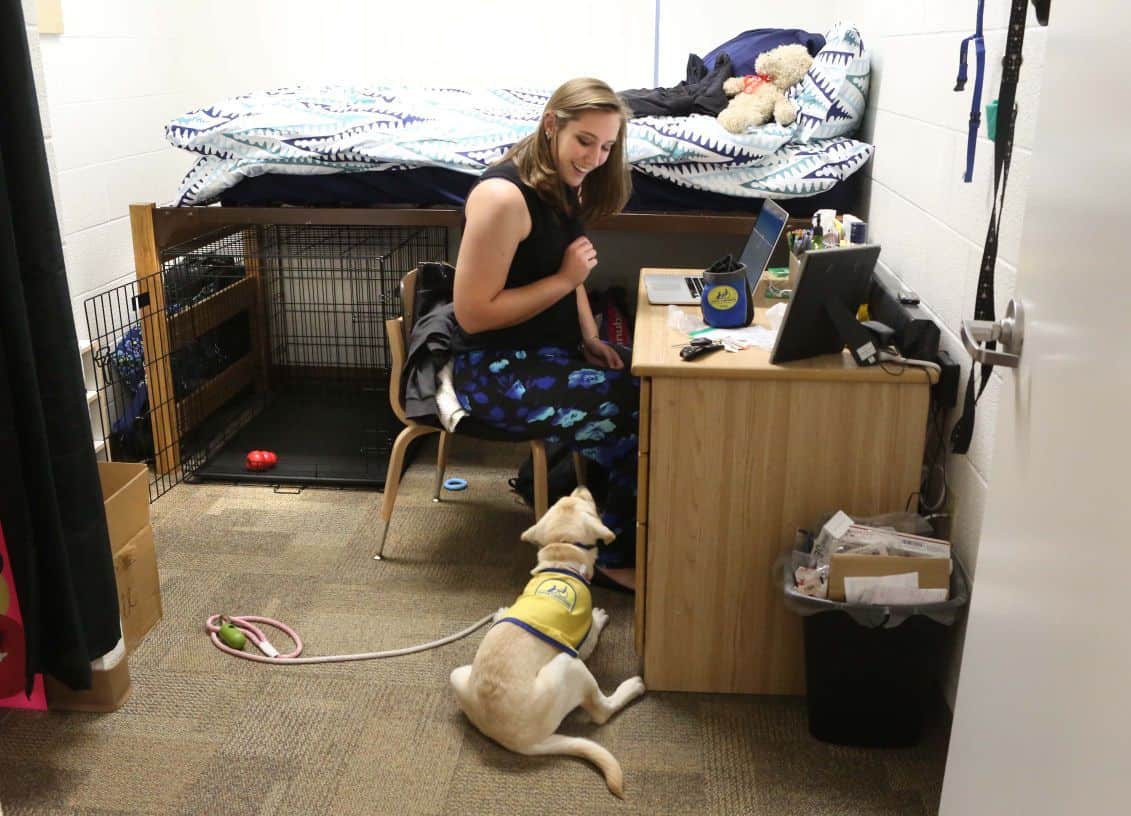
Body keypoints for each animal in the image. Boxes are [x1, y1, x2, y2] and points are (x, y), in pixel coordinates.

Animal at [447, 486, 646, 792]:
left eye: (564, 499)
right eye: (588, 503)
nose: (581, 486)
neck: (560, 558)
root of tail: (520, 743)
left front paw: (500, 613)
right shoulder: (581, 646)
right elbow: (593, 633)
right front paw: (599, 618)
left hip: (459, 675)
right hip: (570, 664)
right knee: (602, 711)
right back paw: (632, 687)